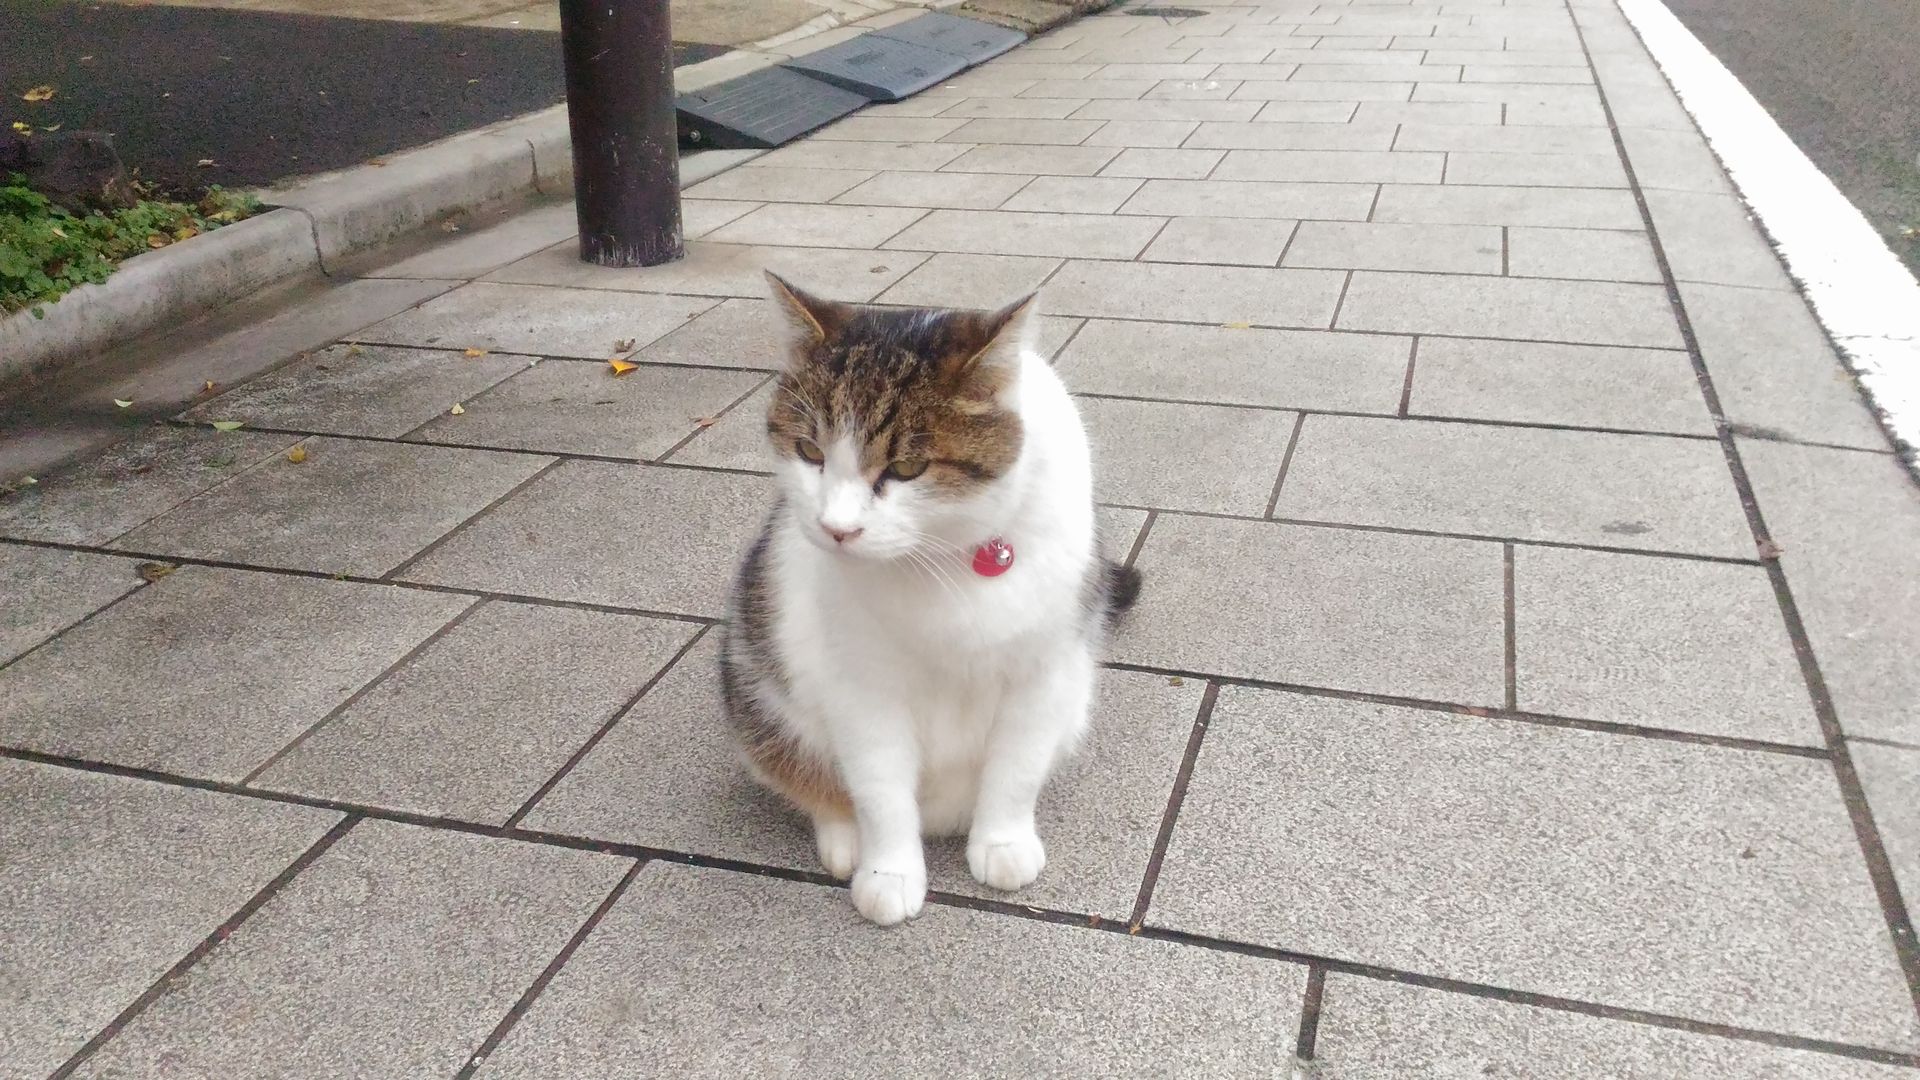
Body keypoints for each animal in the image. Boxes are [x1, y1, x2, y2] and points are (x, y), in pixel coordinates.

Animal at [721, 272, 1136, 922]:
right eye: (810, 452)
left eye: (908, 467)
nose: (837, 528)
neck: (949, 562)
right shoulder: (863, 688)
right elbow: (881, 791)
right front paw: (888, 873)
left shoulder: (1045, 672)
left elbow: (1016, 772)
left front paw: (1003, 843)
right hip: (758, 691)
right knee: (817, 782)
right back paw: (844, 839)